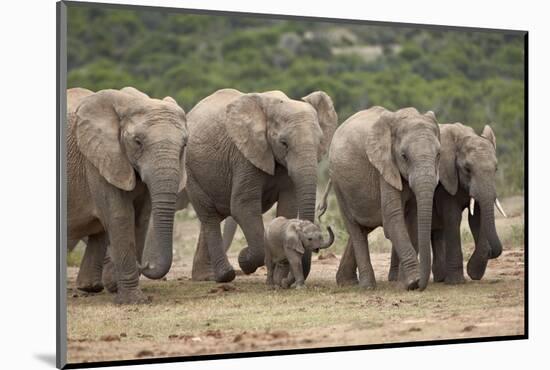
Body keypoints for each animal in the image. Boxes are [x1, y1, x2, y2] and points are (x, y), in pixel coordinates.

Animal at [67, 87, 189, 304]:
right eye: (137, 142)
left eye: (184, 144)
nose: (146, 264)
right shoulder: (98, 159)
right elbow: (120, 216)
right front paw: (133, 301)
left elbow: (140, 218)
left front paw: (121, 290)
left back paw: (90, 288)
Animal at [187, 88, 340, 282]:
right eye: (284, 143)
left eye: (320, 141)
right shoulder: (245, 156)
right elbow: (243, 206)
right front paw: (244, 259)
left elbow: (288, 205)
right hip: (192, 172)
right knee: (210, 216)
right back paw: (225, 275)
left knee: (213, 216)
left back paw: (205, 277)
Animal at [328, 105, 440, 290]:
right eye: (404, 156)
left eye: (438, 154)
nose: (421, 285)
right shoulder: (384, 167)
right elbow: (392, 218)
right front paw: (413, 281)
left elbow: (414, 219)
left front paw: (404, 283)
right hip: (338, 184)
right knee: (355, 229)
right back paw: (367, 286)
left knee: (363, 228)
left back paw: (346, 282)